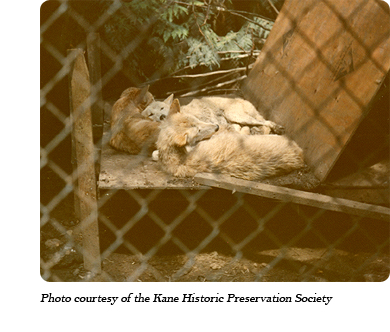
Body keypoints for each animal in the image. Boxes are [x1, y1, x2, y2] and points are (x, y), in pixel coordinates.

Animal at [155, 99, 304, 182]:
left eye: (197, 121)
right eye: (198, 131)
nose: (216, 127)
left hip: (236, 115)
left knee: (263, 123)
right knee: (258, 126)